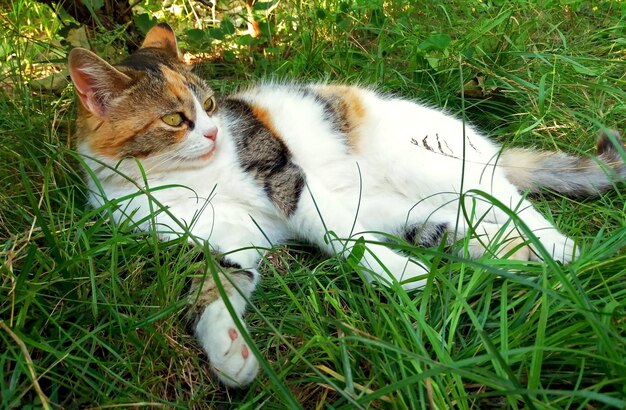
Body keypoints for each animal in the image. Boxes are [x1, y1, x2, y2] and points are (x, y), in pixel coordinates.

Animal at [66, 23, 620, 388]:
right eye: (175, 119)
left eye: (211, 105)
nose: (214, 132)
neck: (178, 181)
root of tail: (487, 147)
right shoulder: (224, 239)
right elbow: (214, 290)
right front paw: (229, 355)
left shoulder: (283, 175)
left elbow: (333, 232)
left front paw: (399, 275)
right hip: (424, 215)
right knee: (473, 228)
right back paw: (515, 260)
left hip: (431, 162)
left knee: (507, 199)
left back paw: (559, 251)